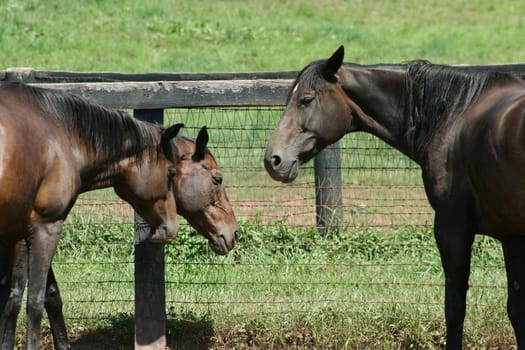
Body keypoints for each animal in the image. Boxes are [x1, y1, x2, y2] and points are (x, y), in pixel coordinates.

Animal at [0, 82, 181, 350]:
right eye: (170, 172)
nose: (171, 227)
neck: (59, 135)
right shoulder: (46, 228)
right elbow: (35, 301)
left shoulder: (20, 235)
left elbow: (13, 300)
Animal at [266, 45, 525, 348]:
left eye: (306, 100)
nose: (273, 160)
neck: (456, 113)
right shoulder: (512, 237)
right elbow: (516, 311)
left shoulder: (452, 229)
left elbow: (454, 309)